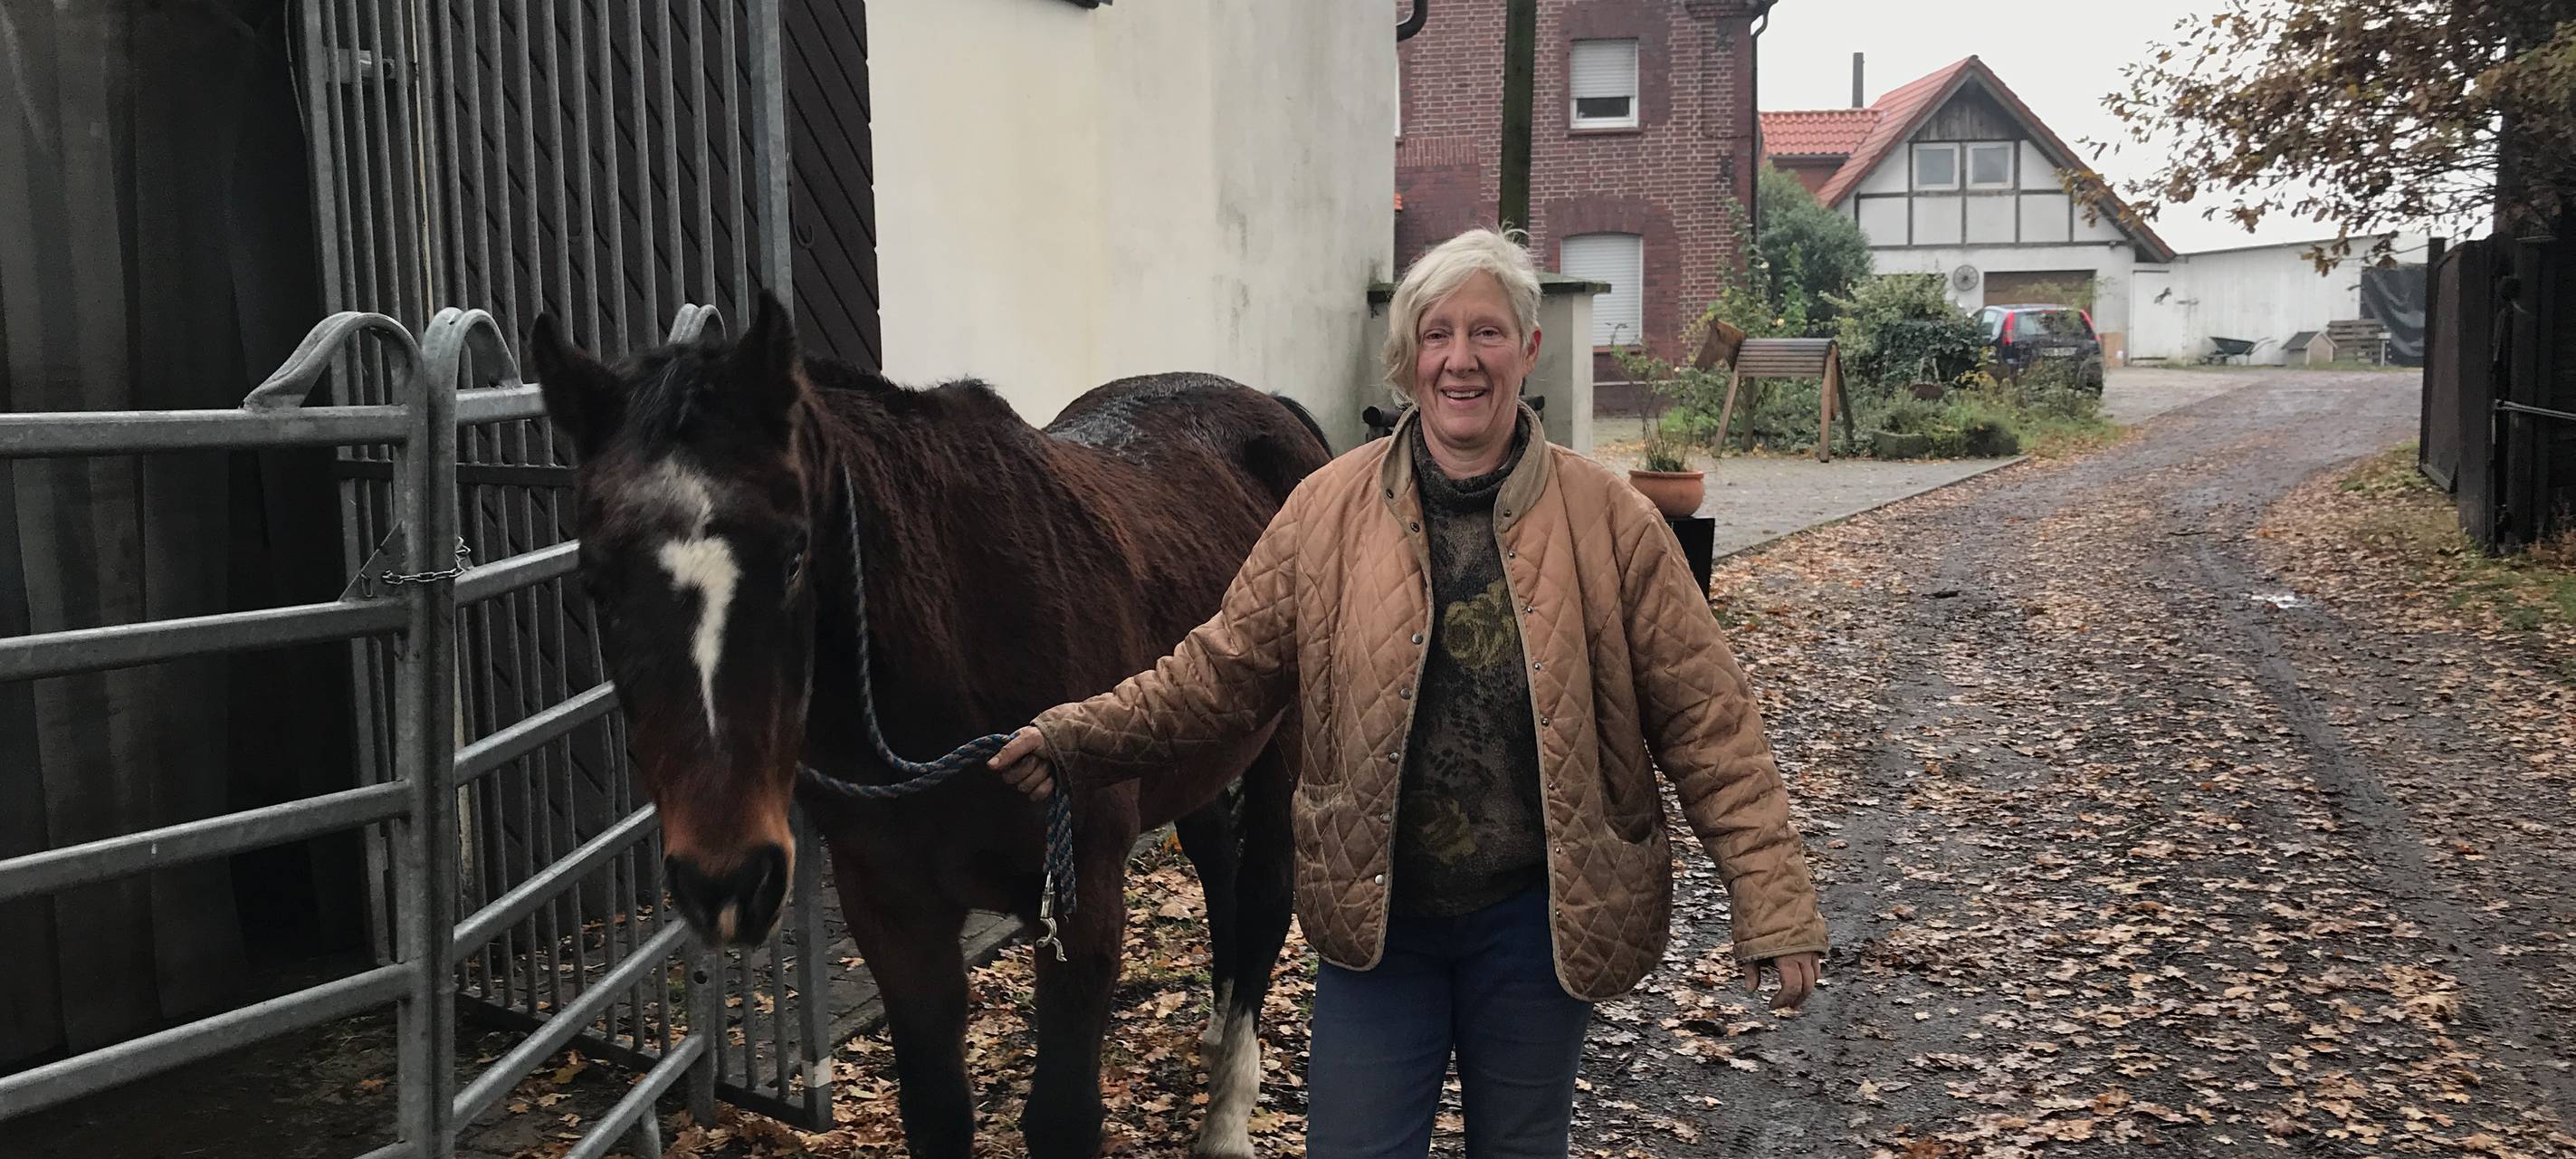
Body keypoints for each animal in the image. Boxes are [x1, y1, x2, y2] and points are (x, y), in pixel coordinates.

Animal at [526, 290, 1329, 1159]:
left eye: (795, 556)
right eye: (596, 581)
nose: (728, 879)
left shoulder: (1081, 901)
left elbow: (1062, 1117)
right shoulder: (895, 914)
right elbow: (937, 1113)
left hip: (1282, 753)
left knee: (1264, 893)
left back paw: (1228, 1115)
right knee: (1216, 863)